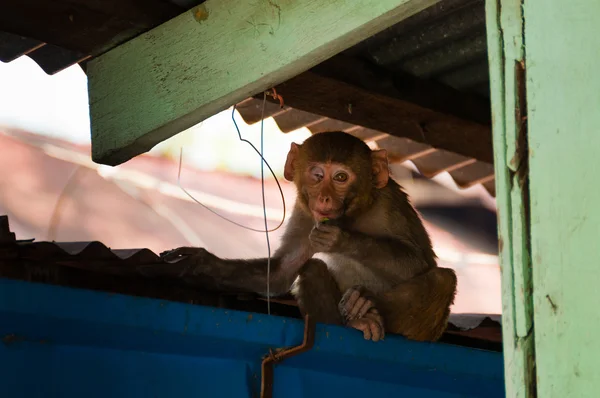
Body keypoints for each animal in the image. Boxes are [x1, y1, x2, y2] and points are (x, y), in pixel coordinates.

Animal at [162, 131, 458, 342]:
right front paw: (199, 263)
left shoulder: (388, 204)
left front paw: (341, 239)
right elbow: (280, 272)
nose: (324, 197)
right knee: (312, 268)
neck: (351, 214)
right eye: (317, 175)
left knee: (443, 279)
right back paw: (356, 321)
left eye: (340, 177)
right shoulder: (306, 213)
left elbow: (418, 264)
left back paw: (368, 306)